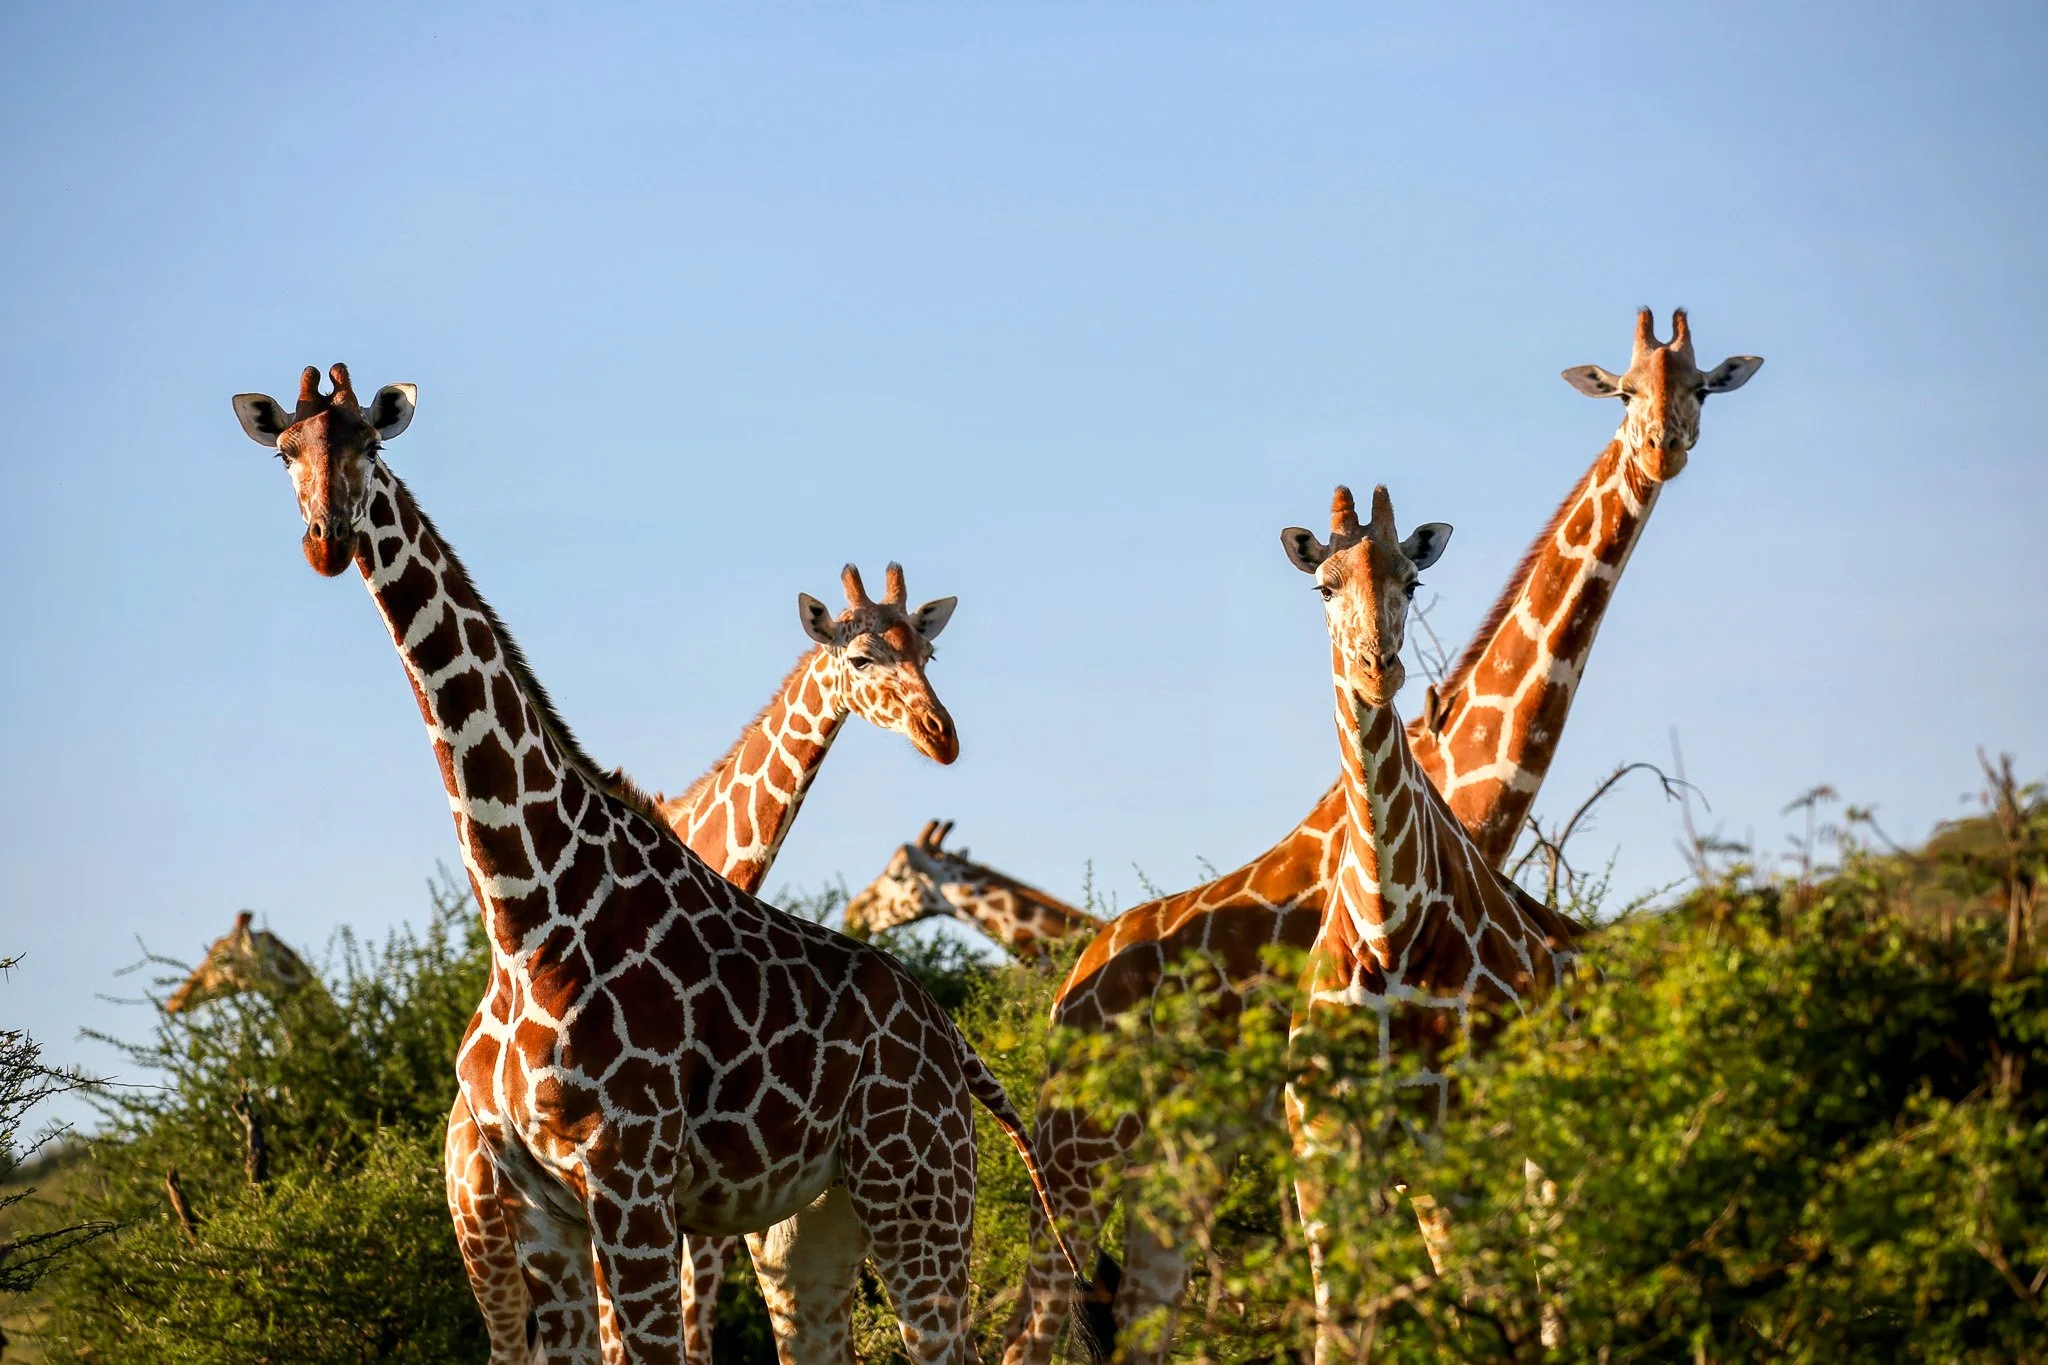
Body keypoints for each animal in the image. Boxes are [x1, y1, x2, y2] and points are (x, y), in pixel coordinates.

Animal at [1278, 485, 1580, 1362]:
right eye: (1324, 586)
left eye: (1411, 582)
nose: (1380, 670)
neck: (1389, 927)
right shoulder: (1325, 1158)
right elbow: (1339, 1332)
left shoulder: (1449, 1140)